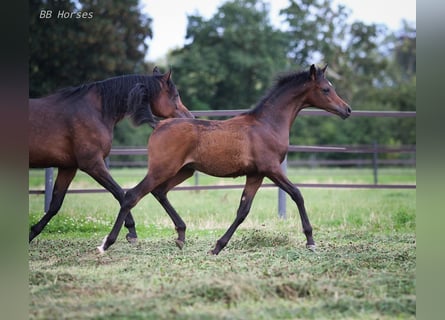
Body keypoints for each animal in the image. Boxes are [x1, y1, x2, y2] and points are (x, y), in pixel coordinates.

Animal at [28, 68, 193, 242]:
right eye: (175, 95)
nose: (189, 118)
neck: (95, 111)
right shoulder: (92, 164)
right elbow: (120, 192)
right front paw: (131, 230)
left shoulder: (68, 167)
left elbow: (55, 204)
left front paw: (33, 232)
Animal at [97, 64, 350, 255]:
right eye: (326, 89)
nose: (347, 110)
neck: (266, 124)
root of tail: (158, 124)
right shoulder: (271, 168)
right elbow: (297, 194)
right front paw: (310, 240)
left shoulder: (256, 174)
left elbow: (243, 210)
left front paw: (217, 246)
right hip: (162, 169)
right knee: (132, 196)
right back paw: (107, 243)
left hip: (183, 171)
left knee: (159, 192)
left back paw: (180, 235)